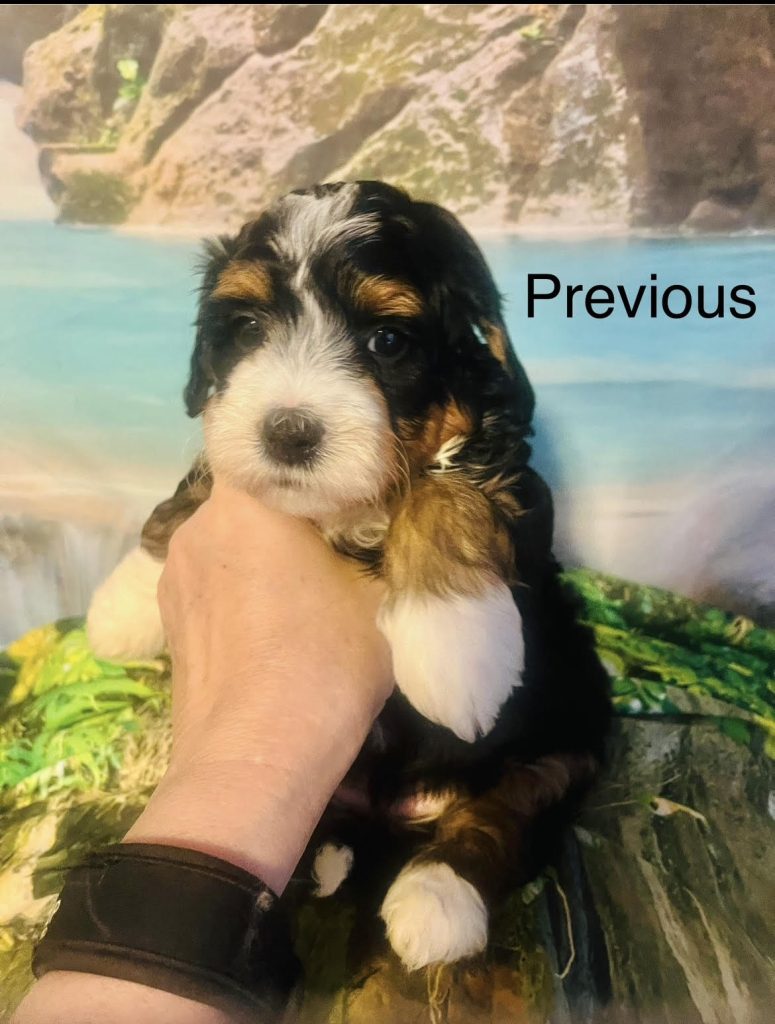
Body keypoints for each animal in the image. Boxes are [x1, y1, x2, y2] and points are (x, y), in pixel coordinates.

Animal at [87, 180, 611, 971]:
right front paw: (125, 603)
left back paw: (437, 896)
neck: (343, 513)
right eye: (246, 328)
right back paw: (326, 857)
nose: (287, 432)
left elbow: (447, 491)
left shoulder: (513, 481)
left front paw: (454, 645)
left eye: (386, 342)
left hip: (573, 724)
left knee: (511, 807)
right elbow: (203, 478)